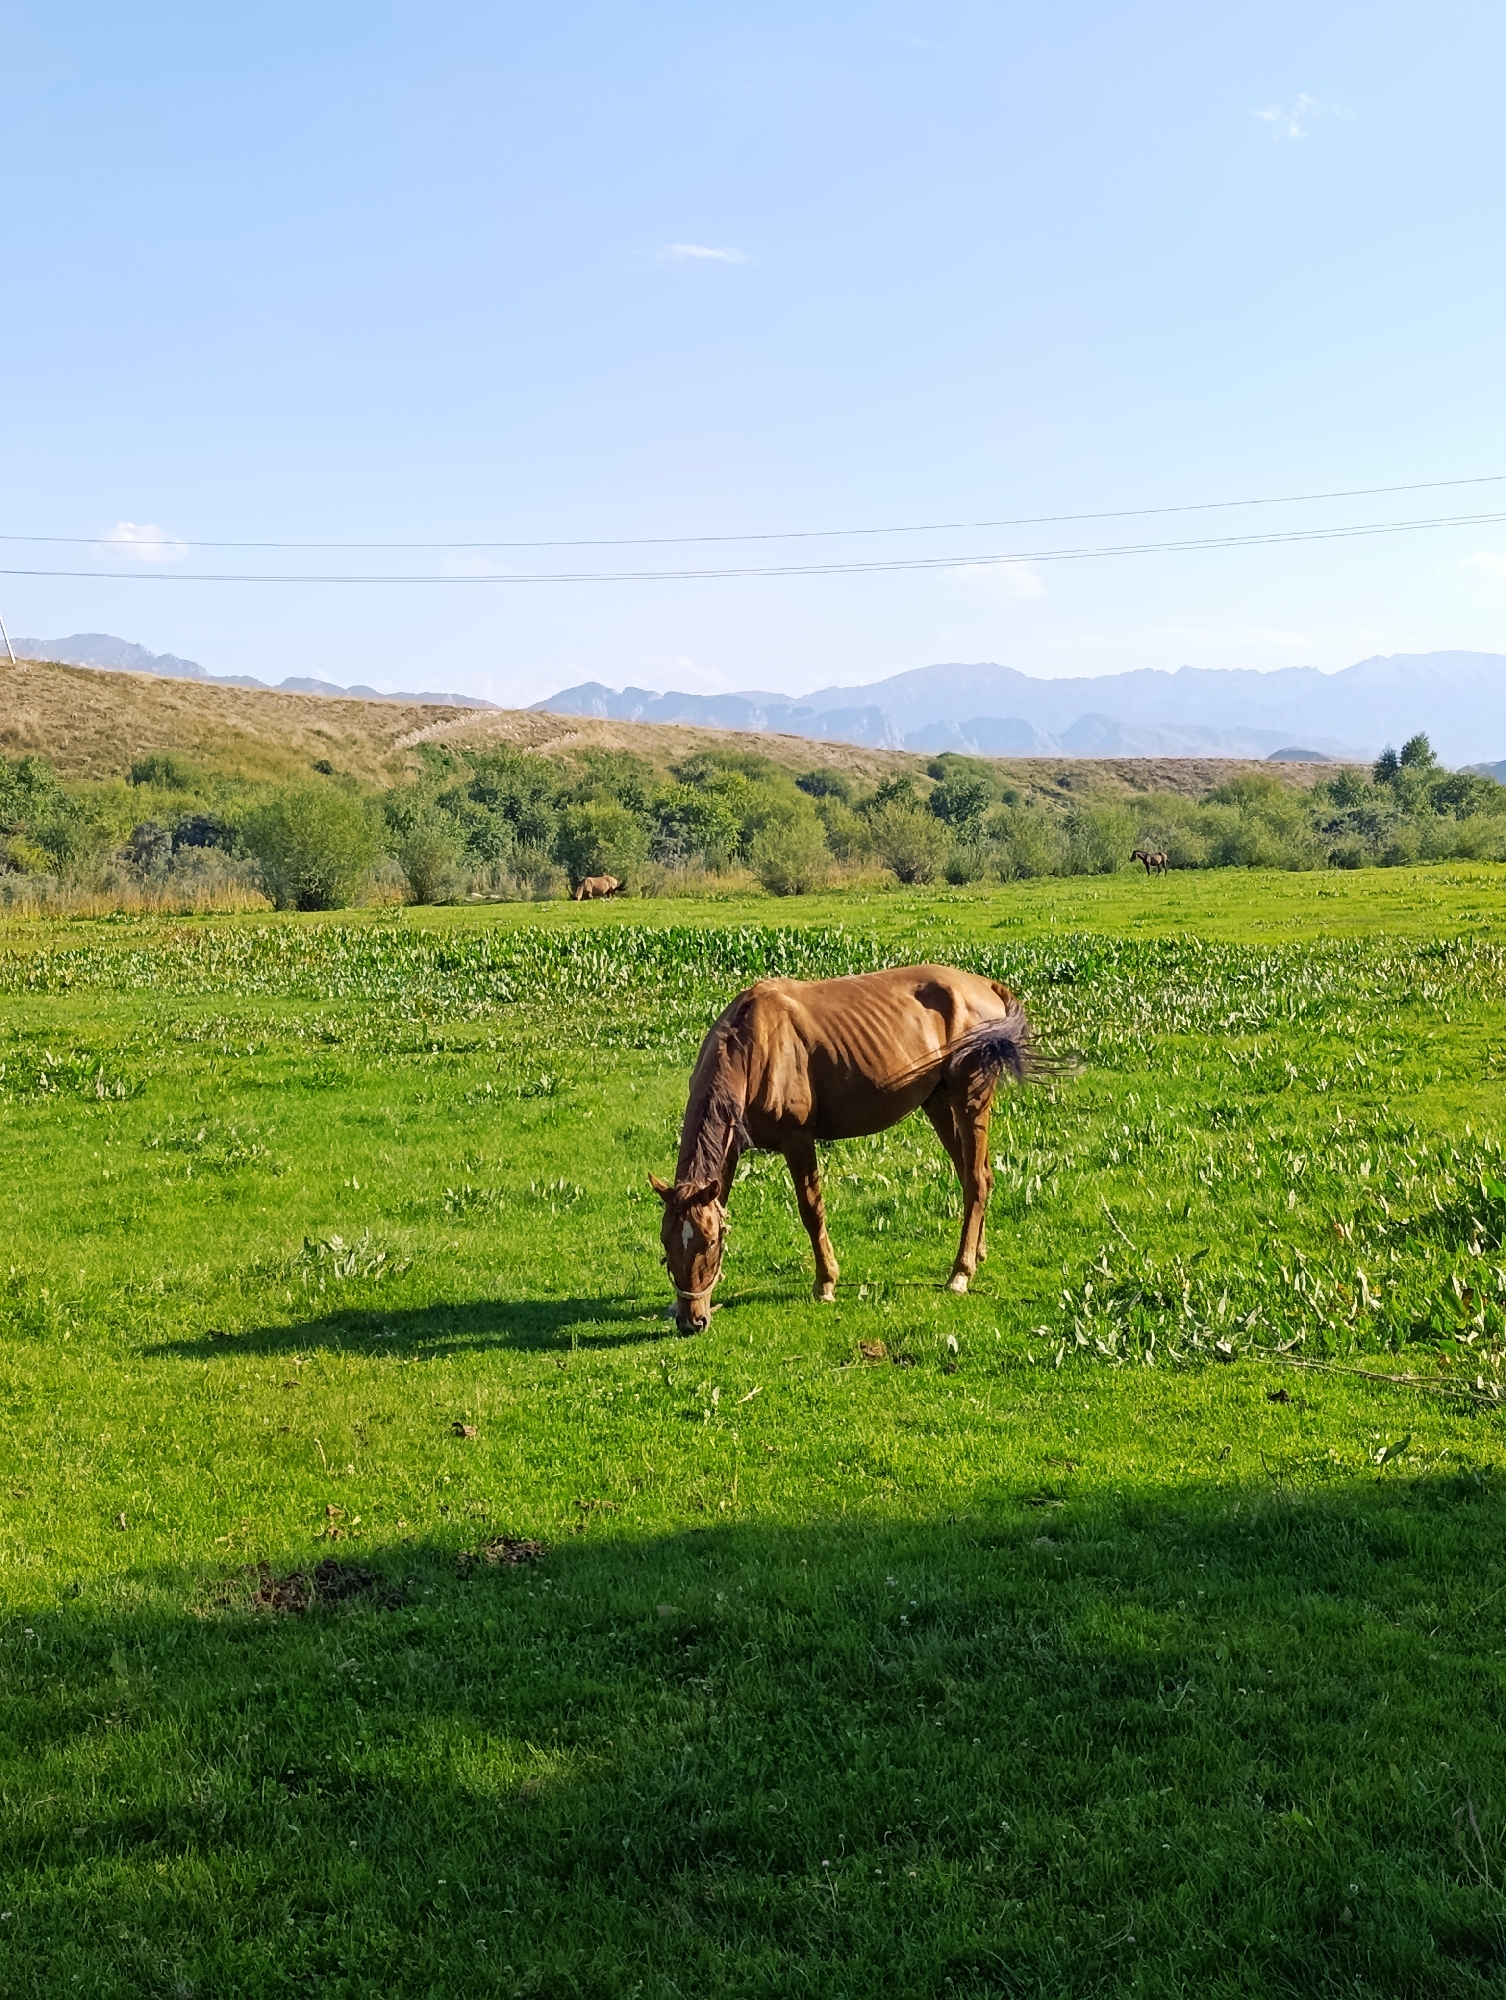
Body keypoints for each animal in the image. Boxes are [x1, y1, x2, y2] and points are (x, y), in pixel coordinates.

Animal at [650, 964, 1040, 1332]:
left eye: (709, 1244)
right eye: (666, 1243)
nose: (692, 1321)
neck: (753, 1045)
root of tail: (984, 985)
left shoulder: (798, 1140)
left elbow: (811, 1211)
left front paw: (825, 1282)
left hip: (971, 1099)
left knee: (976, 1179)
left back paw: (960, 1272)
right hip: (939, 1103)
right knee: (972, 1174)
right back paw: (977, 1253)